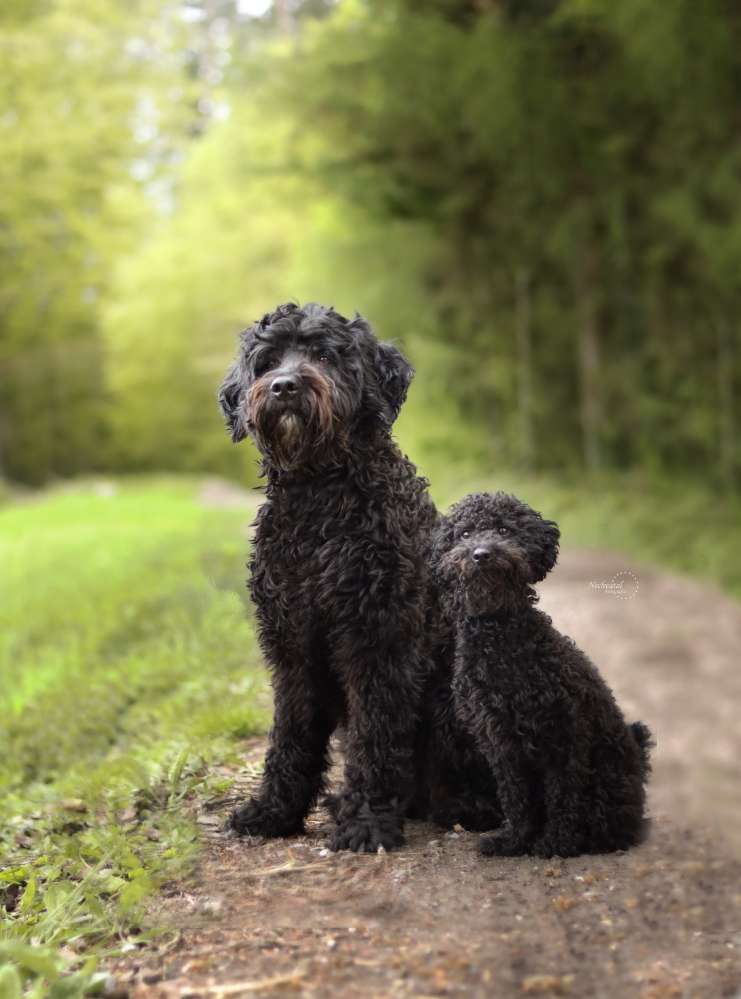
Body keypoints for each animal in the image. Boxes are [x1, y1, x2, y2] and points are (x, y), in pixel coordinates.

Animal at [217, 302, 436, 852]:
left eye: (324, 355)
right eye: (268, 361)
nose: (284, 387)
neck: (319, 500)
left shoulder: (377, 637)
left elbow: (374, 736)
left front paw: (368, 821)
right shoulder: (293, 644)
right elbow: (291, 735)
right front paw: (275, 811)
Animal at [430, 492, 652, 860]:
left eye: (504, 529)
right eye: (464, 534)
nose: (481, 554)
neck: (498, 638)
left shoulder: (563, 735)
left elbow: (563, 795)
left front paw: (556, 843)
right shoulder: (500, 744)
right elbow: (516, 799)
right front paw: (514, 841)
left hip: (607, 777)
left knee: (614, 823)